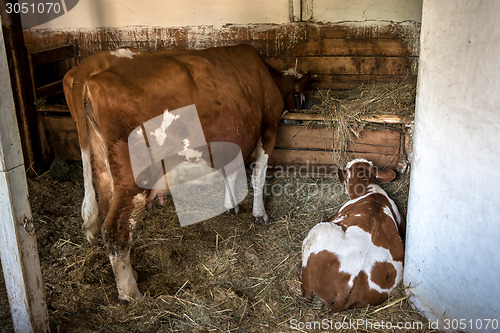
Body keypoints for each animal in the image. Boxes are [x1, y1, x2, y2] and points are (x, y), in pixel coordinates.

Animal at [63, 44, 310, 300]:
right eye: (303, 96)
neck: (266, 74)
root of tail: (90, 64)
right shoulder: (268, 127)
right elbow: (258, 176)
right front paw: (259, 214)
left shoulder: (233, 139)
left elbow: (230, 172)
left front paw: (231, 205)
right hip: (133, 181)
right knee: (115, 229)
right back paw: (131, 294)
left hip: (102, 169)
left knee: (104, 215)